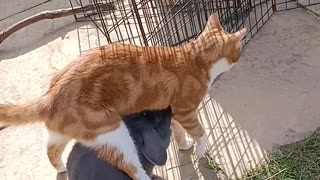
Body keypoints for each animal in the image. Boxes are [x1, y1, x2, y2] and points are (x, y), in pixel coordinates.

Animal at [0, 13, 248, 179]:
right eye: (238, 51)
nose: (240, 58)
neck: (194, 58)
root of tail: (50, 97)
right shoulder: (186, 110)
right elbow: (200, 132)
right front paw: (199, 148)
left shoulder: (173, 110)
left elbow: (177, 130)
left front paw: (184, 144)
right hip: (114, 133)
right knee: (133, 168)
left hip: (61, 133)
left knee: (51, 151)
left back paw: (61, 167)